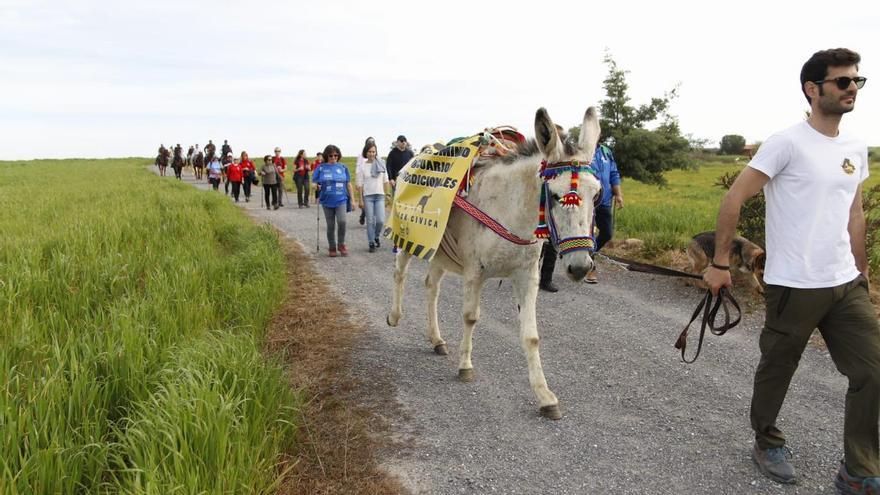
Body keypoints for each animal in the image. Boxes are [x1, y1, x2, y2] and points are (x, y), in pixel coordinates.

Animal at [386, 106, 600, 420]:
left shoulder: (527, 276)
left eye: (597, 194)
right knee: (400, 273)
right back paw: (395, 315)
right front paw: (465, 366)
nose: (581, 267)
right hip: (408, 237)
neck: (510, 209)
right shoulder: (475, 272)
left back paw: (436, 339)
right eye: (556, 195)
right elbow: (470, 317)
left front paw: (545, 396)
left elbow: (531, 336)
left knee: (431, 287)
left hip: (441, 252)